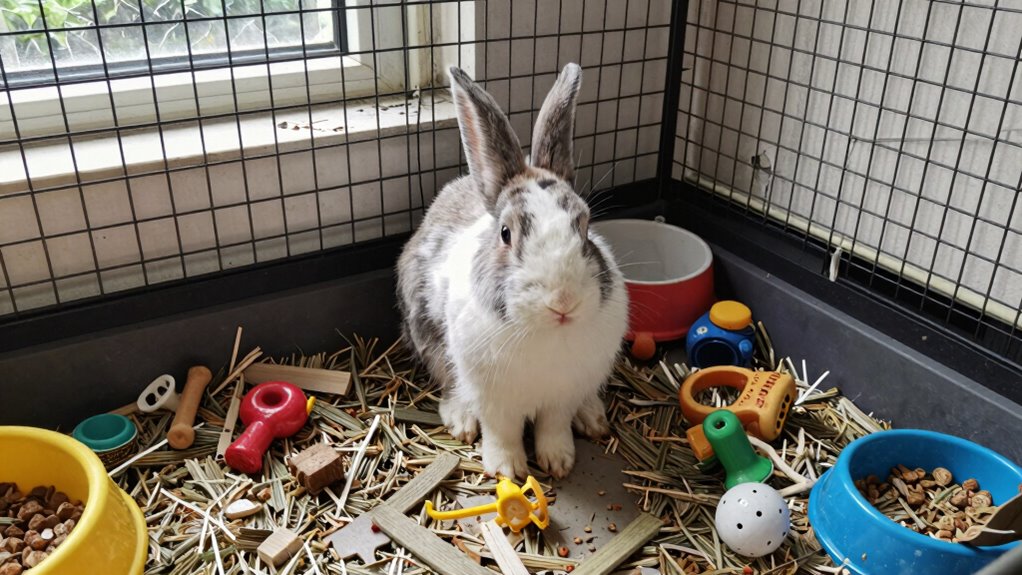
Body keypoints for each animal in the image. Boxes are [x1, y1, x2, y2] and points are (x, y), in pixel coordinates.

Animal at [395, 63, 629, 479]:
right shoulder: (494, 398)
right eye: (505, 233)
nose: (563, 302)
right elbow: (501, 431)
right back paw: (461, 419)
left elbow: (554, 427)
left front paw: (559, 462)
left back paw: (592, 417)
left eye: (585, 227)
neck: (545, 333)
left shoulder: (560, 397)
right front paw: (508, 470)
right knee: (447, 381)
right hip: (427, 334)